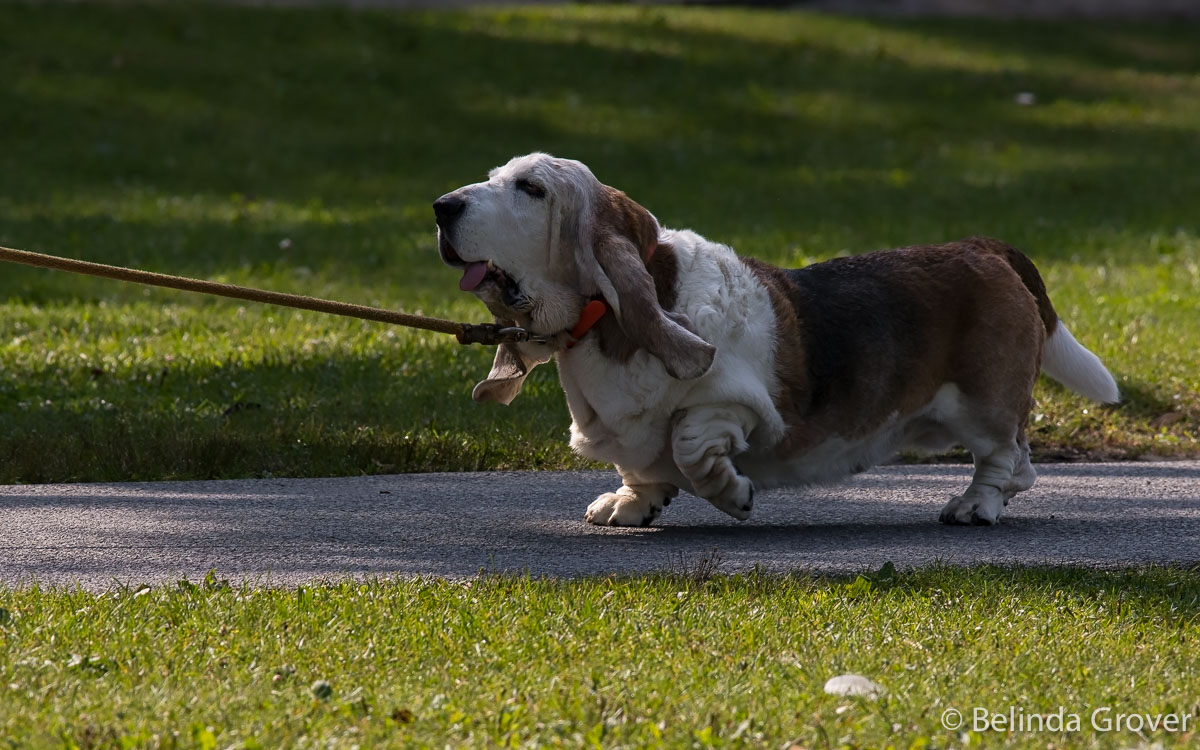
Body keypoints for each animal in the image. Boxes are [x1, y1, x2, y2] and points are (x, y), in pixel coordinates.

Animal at [433, 153, 1119, 526]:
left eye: (531, 189)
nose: (441, 207)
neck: (602, 323)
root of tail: (982, 246)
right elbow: (640, 462)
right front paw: (633, 502)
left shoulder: (733, 405)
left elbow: (689, 444)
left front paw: (732, 493)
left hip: (981, 404)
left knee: (1008, 460)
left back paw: (975, 505)